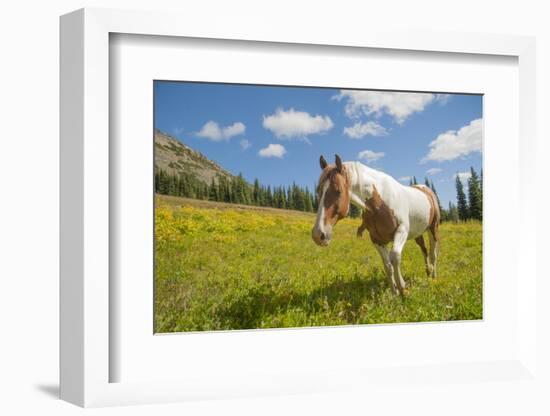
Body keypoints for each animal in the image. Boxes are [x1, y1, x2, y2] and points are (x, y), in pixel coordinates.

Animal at [312, 155, 442, 296]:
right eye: (318, 190)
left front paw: (403, 288)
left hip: (433, 229)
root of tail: (426, 190)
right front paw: (394, 292)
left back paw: (434, 278)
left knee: (433, 253)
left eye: (338, 191)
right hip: (418, 233)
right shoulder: (376, 240)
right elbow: (387, 265)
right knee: (424, 250)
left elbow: (395, 256)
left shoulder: (401, 231)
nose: (318, 235)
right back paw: (428, 272)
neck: (379, 203)